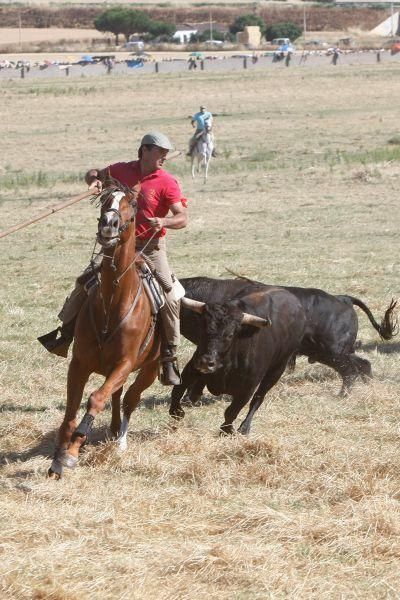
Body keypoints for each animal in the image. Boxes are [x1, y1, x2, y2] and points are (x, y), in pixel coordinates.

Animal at [49, 183, 161, 478]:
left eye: (133, 205)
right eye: (105, 201)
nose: (108, 224)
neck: (113, 303)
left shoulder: (125, 363)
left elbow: (96, 399)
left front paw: (72, 452)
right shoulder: (79, 363)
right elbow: (70, 412)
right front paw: (59, 455)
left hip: (150, 369)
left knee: (130, 399)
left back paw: (120, 440)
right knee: (119, 395)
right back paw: (111, 430)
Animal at [170, 276, 396, 436]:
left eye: (230, 334)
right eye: (204, 329)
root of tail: (343, 298)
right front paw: (189, 400)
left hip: (331, 352)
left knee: (350, 370)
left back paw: (344, 395)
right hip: (329, 353)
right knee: (361, 365)